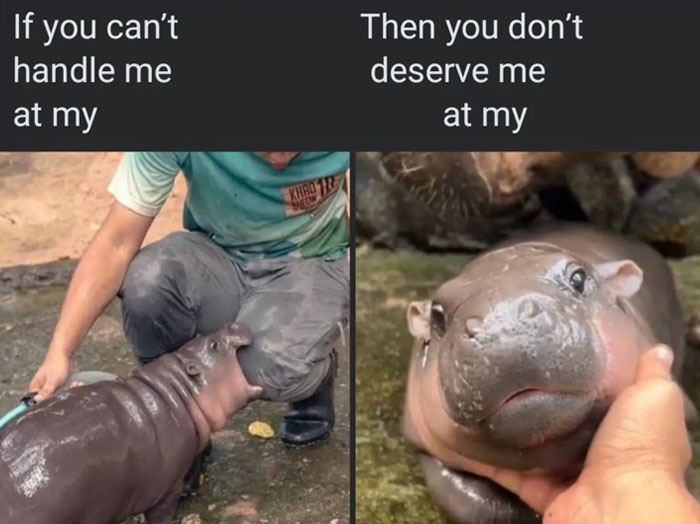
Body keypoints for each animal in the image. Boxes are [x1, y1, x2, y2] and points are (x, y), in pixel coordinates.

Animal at [0, 322, 262, 524]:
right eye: (214, 345)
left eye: (201, 337)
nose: (235, 324)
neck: (180, 390)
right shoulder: (168, 489)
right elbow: (161, 515)